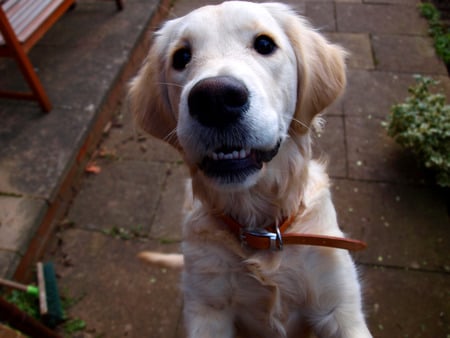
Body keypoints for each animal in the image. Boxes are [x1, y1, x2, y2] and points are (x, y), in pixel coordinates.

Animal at [130, 1, 372, 336]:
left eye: (265, 44)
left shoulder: (339, 305)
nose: (215, 98)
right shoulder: (207, 307)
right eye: (181, 57)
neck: (262, 231)